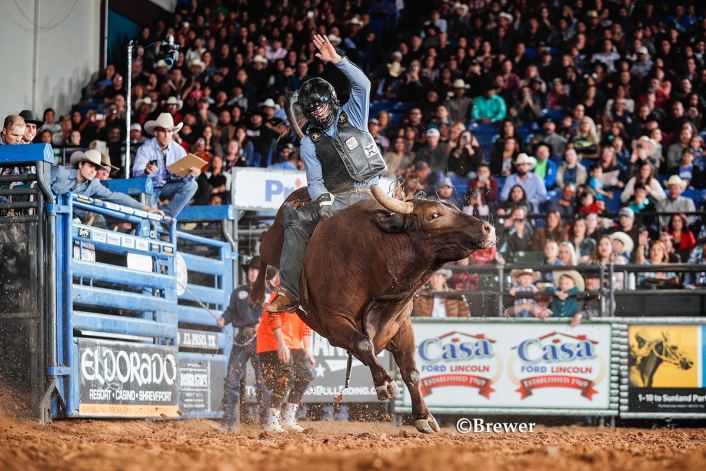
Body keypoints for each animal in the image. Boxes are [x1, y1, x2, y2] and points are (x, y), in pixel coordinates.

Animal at [248, 185, 496, 436]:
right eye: (434, 215)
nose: (488, 228)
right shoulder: (334, 322)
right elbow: (364, 344)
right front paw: (385, 383)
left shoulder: (401, 326)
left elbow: (411, 371)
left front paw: (423, 416)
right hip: (273, 242)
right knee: (261, 250)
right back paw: (258, 294)